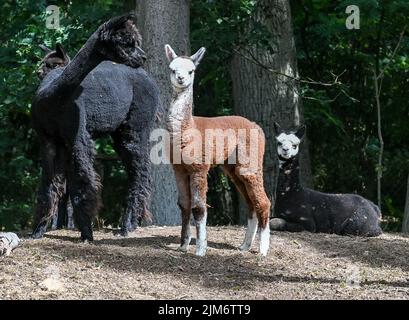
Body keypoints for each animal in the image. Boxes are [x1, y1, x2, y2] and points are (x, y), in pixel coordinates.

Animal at [163, 45, 270, 256]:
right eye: (172, 69)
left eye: (191, 71)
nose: (181, 79)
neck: (187, 129)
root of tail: (255, 125)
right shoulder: (178, 168)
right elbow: (184, 205)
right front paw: (183, 245)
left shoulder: (199, 167)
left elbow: (198, 208)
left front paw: (200, 250)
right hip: (233, 168)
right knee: (250, 203)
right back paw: (244, 246)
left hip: (250, 162)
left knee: (263, 202)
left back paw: (262, 250)